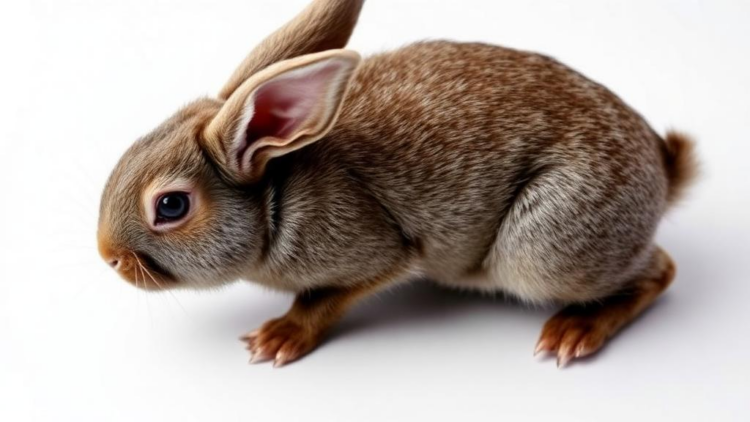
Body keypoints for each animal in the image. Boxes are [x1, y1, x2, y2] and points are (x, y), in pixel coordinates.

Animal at [98, 0, 698, 368]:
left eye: (171, 206)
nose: (108, 256)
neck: (276, 198)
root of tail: (664, 169)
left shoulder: (378, 254)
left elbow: (325, 299)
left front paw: (276, 339)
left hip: (544, 247)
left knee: (661, 270)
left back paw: (573, 332)